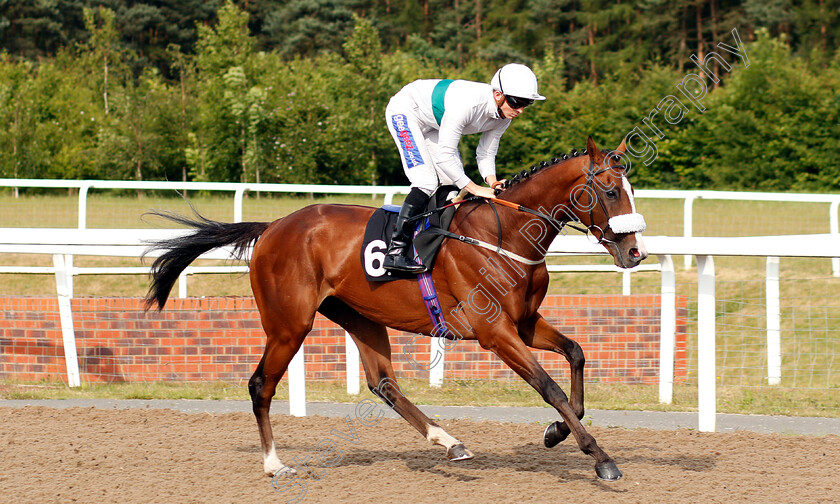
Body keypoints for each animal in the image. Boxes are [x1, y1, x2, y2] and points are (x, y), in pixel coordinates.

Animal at [143, 136, 648, 482]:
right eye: (609, 192)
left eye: (630, 189)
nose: (634, 253)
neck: (503, 234)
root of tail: (273, 226)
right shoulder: (495, 332)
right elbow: (550, 387)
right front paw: (600, 457)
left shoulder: (523, 324)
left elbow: (576, 355)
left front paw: (556, 432)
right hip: (289, 325)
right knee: (260, 384)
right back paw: (274, 464)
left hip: (359, 316)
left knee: (383, 382)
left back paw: (449, 441)